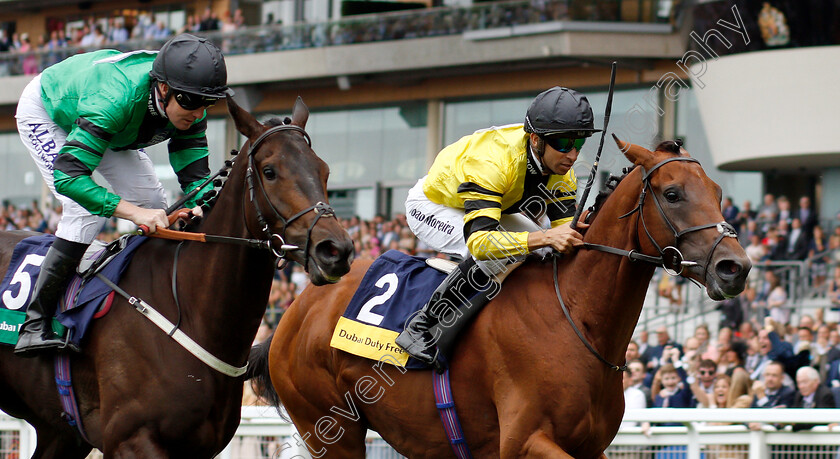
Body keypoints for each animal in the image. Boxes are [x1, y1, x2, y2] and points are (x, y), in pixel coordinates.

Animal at [0, 96, 352, 456]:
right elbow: (71, 172)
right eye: (270, 172)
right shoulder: (130, 439)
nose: (335, 250)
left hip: (59, 432)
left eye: (324, 171)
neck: (189, 309)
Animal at [251, 137, 756, 459]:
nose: (735, 267)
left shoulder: (590, 448)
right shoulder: (523, 440)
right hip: (330, 427)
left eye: (717, 190)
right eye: (672, 193)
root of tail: (295, 312)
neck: (575, 318)